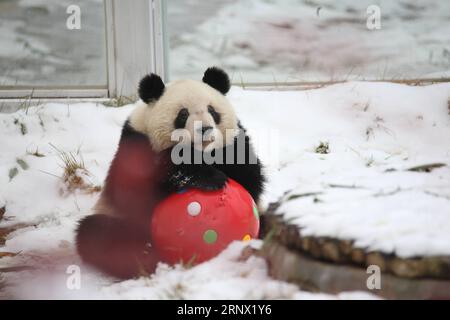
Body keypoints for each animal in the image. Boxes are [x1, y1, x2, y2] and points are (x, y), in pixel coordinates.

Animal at [75, 67, 266, 278]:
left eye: (212, 111)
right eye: (183, 114)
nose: (205, 129)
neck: (203, 152)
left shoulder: (238, 143)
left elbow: (251, 179)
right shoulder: (135, 144)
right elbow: (134, 194)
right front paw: (209, 177)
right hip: (113, 216)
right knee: (99, 234)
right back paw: (143, 255)